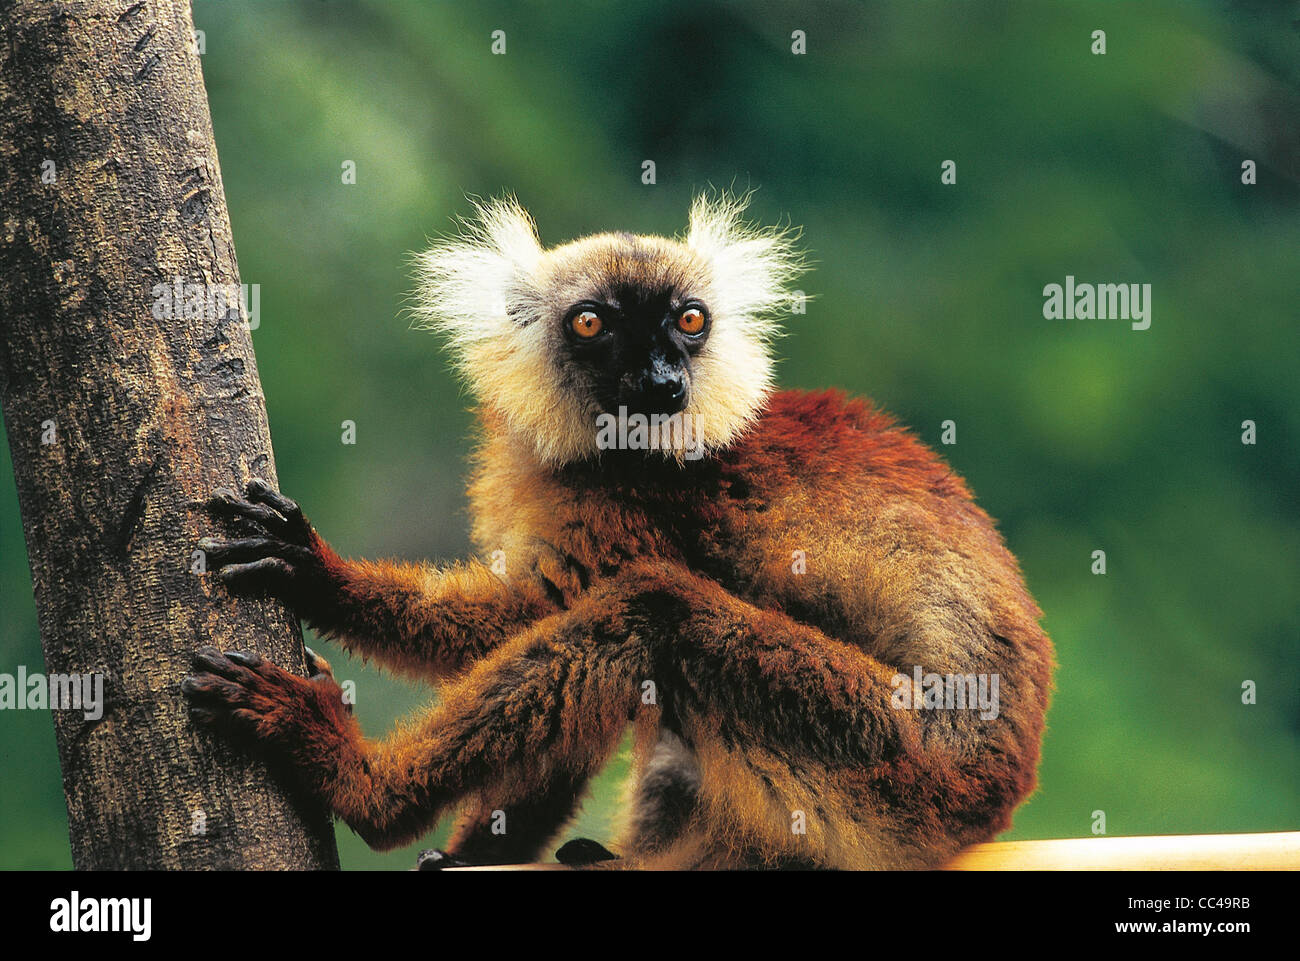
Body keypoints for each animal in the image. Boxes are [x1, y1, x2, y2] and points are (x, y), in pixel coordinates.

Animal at [181, 193, 1054, 870]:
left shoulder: (637, 503)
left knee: (649, 614)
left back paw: (353, 777)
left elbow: (538, 609)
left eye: (689, 321)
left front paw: (318, 575)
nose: (665, 380)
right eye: (593, 324)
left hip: (892, 758)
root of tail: (997, 794)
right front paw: (483, 848)